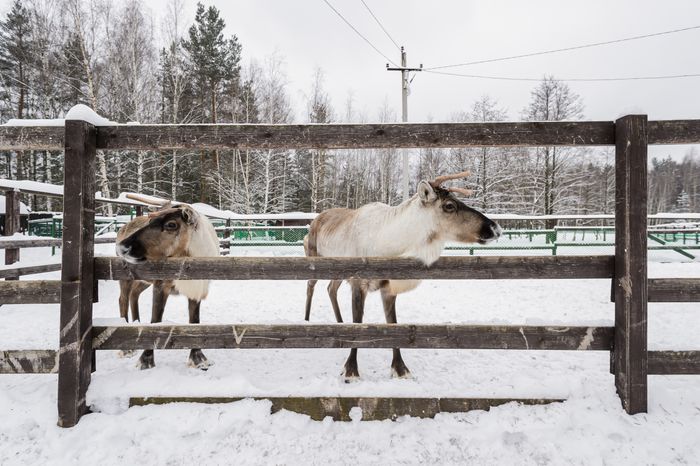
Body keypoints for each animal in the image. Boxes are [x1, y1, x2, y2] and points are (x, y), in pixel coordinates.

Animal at [115, 196, 221, 370]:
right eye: (150, 219)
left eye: (171, 224)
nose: (123, 247)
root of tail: (123, 228)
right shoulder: (161, 284)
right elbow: (155, 320)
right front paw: (145, 360)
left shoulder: (197, 287)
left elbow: (194, 321)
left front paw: (198, 359)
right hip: (127, 276)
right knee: (122, 299)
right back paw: (126, 349)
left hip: (144, 279)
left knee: (134, 294)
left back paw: (137, 324)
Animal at [303, 171, 501, 381]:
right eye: (449, 205)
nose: (495, 228)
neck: (391, 245)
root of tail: (314, 222)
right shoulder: (359, 283)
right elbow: (359, 323)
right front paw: (351, 370)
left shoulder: (388, 286)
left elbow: (393, 324)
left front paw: (400, 369)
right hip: (314, 260)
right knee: (311, 286)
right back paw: (306, 320)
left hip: (338, 272)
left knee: (330, 288)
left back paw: (340, 324)